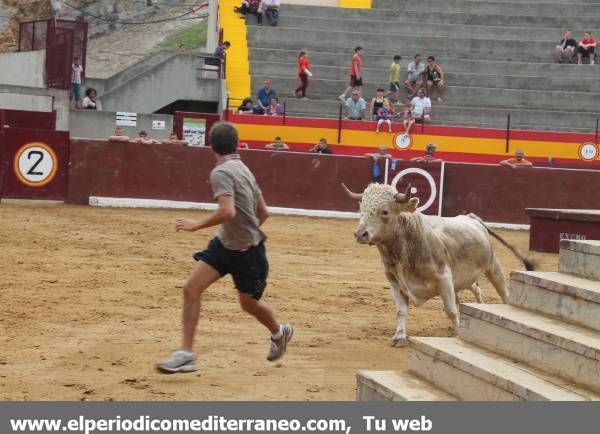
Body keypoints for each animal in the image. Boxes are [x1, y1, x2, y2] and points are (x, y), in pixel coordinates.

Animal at [342, 182, 536, 346]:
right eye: (361, 209)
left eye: (384, 212)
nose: (360, 234)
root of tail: (472, 218)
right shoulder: (396, 284)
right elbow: (401, 311)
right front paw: (399, 337)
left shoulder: (444, 278)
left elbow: (450, 309)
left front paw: (458, 332)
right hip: (463, 277)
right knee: (476, 288)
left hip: (492, 266)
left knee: (504, 293)